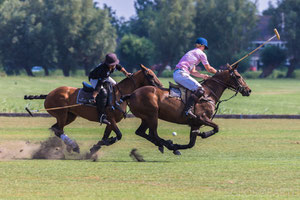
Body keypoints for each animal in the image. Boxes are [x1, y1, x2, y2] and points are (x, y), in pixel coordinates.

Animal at [24, 65, 163, 154]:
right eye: (150, 75)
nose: (161, 86)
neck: (121, 94)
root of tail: (48, 94)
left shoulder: (110, 122)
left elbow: (105, 136)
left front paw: (94, 148)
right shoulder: (111, 118)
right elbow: (118, 135)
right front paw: (105, 142)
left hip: (70, 115)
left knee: (55, 128)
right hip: (62, 114)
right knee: (59, 130)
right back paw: (74, 146)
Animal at [120, 64, 252, 155]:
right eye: (238, 76)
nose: (248, 90)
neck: (208, 94)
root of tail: (131, 94)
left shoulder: (195, 124)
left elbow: (191, 144)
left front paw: (180, 146)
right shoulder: (202, 118)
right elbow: (217, 127)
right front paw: (203, 134)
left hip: (146, 118)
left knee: (141, 132)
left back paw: (167, 145)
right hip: (152, 115)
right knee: (153, 133)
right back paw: (167, 144)